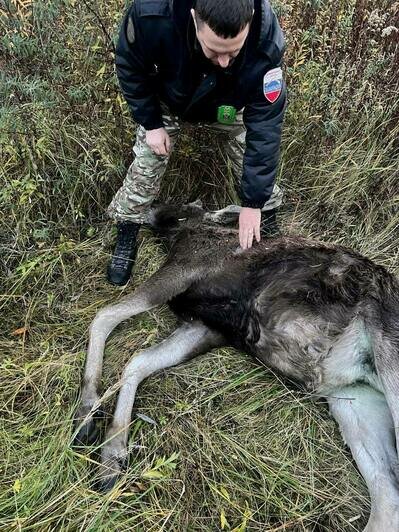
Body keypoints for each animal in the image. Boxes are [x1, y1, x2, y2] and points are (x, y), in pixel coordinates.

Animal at [74, 202, 399, 528]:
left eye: (184, 205)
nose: (152, 209)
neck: (184, 234)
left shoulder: (183, 270)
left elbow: (103, 317)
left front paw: (86, 414)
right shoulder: (205, 326)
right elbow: (138, 361)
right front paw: (111, 455)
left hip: (390, 367)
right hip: (353, 399)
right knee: (387, 501)